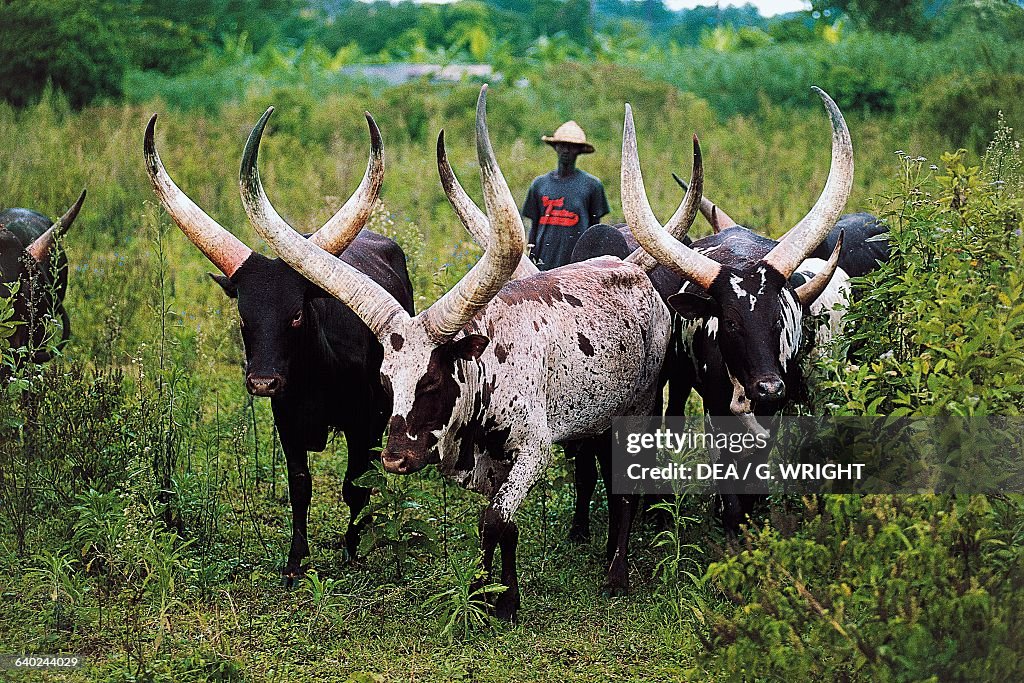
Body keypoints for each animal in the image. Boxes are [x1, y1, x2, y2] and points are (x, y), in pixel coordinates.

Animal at [144, 113, 415, 581]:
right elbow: (299, 486)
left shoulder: (363, 420)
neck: (316, 375)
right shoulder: (285, 420)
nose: (263, 382)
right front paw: (295, 562)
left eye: (296, 315)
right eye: (243, 317)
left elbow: (354, 484)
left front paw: (353, 549)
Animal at [243, 85, 684, 618]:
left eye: (432, 380)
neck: (487, 365)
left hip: (641, 407)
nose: (395, 460)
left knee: (626, 492)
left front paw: (505, 605)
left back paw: (616, 574)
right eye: (386, 382)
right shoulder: (490, 465)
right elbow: (500, 526)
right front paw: (485, 590)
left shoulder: (532, 450)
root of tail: (634, 271)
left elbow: (495, 521)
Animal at [622, 88, 856, 532]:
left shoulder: (775, 416)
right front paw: (729, 519)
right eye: (729, 322)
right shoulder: (716, 412)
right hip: (677, 381)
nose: (769, 388)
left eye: (779, 318)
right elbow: (728, 486)